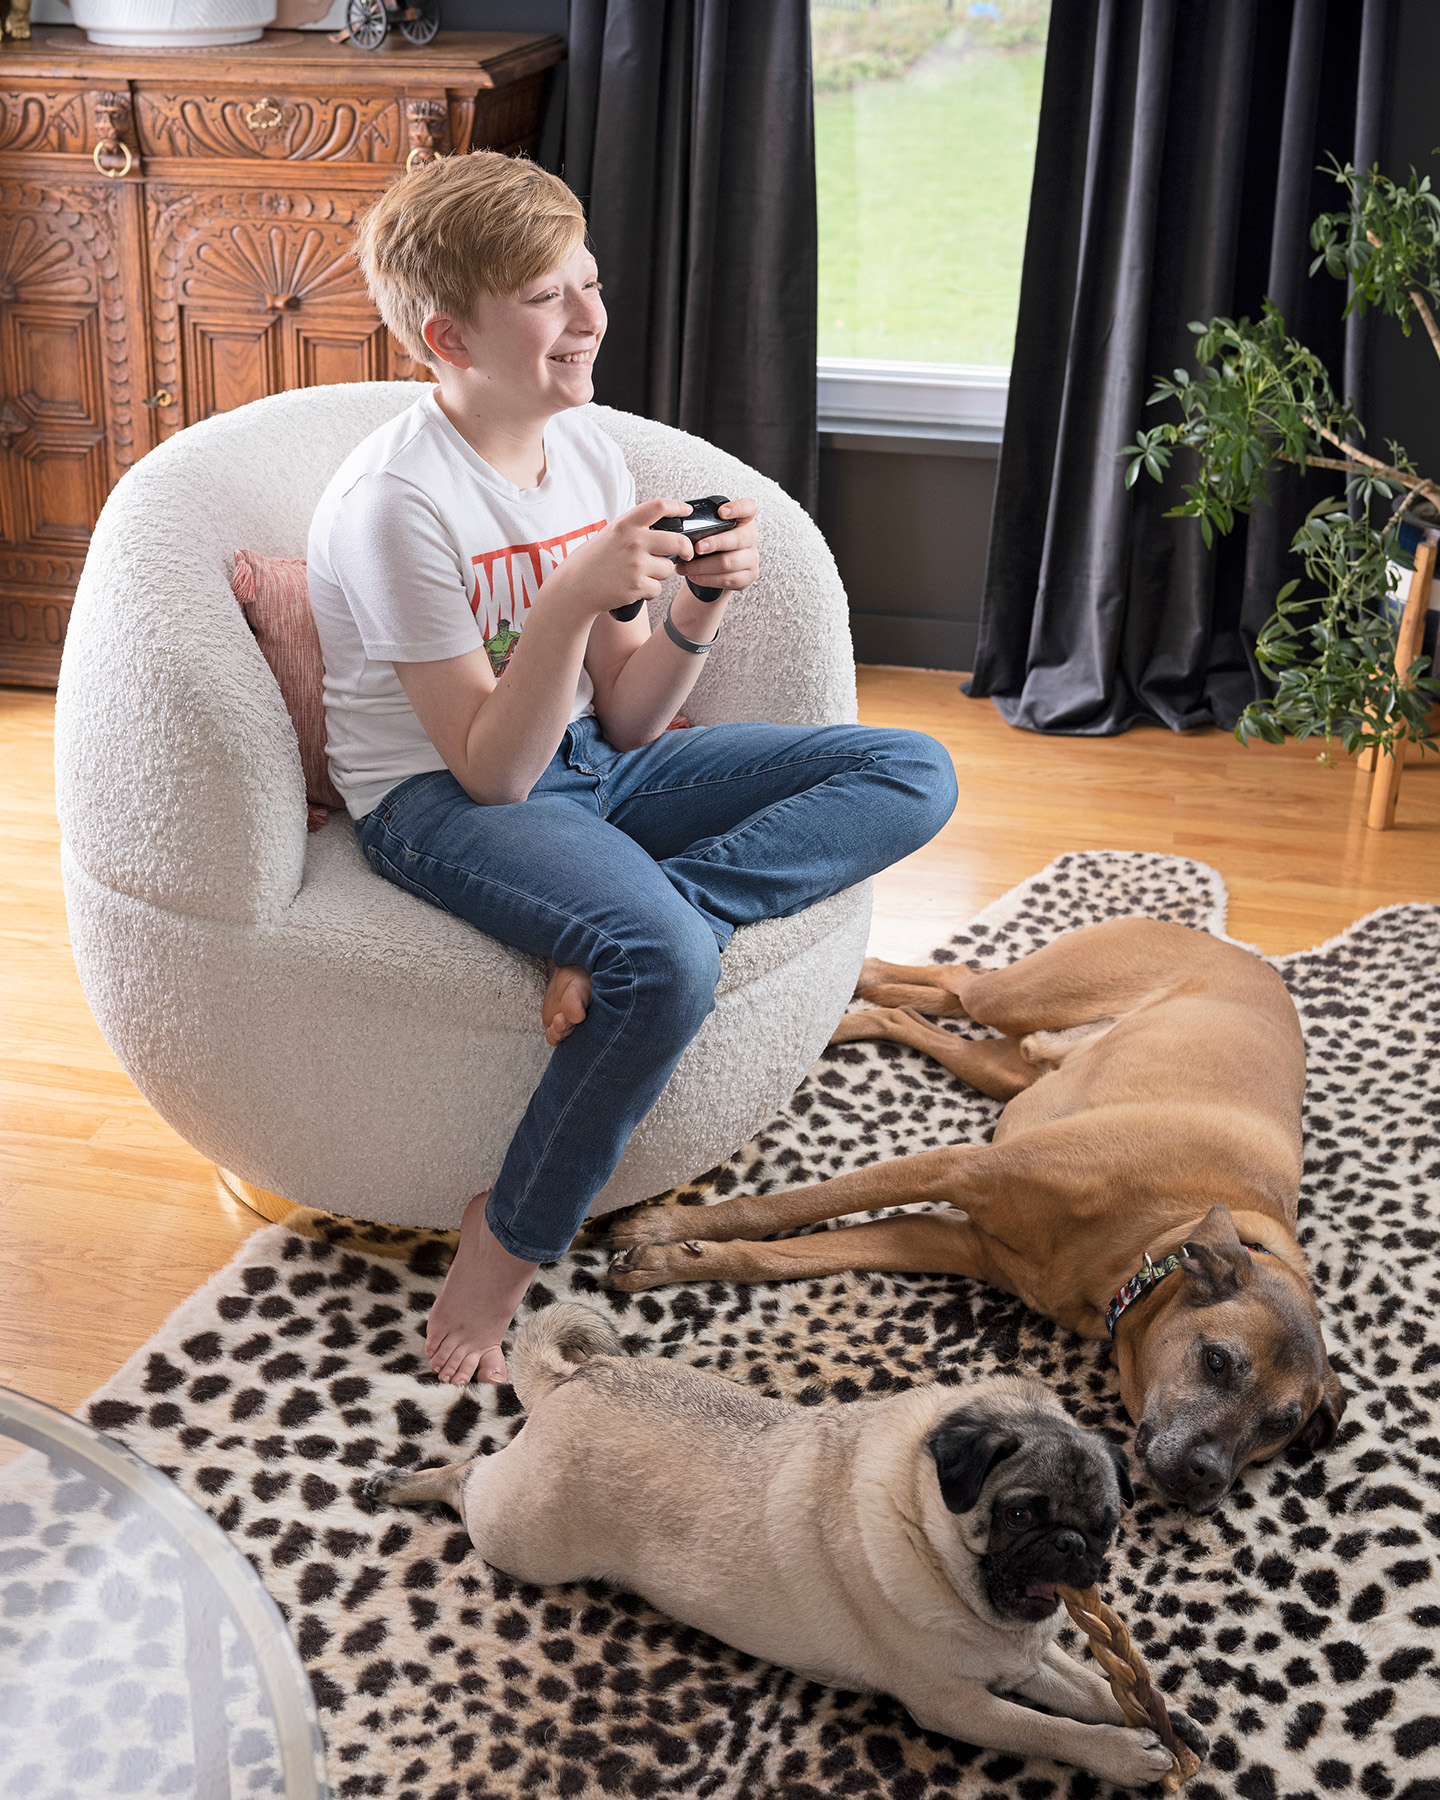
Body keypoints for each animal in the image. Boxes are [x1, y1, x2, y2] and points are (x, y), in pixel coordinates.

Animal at [608, 921, 1353, 1512]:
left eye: (1280, 1426)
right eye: (1218, 1361)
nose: (1207, 1478)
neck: (1153, 1240)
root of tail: (1246, 954)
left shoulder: (939, 1237)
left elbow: (787, 1253)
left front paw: (673, 1260)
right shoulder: (957, 1168)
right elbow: (785, 1205)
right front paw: (662, 1230)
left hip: (1008, 1066)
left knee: (923, 1014)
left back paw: (859, 1005)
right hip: (1025, 999)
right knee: (962, 980)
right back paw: (868, 978)